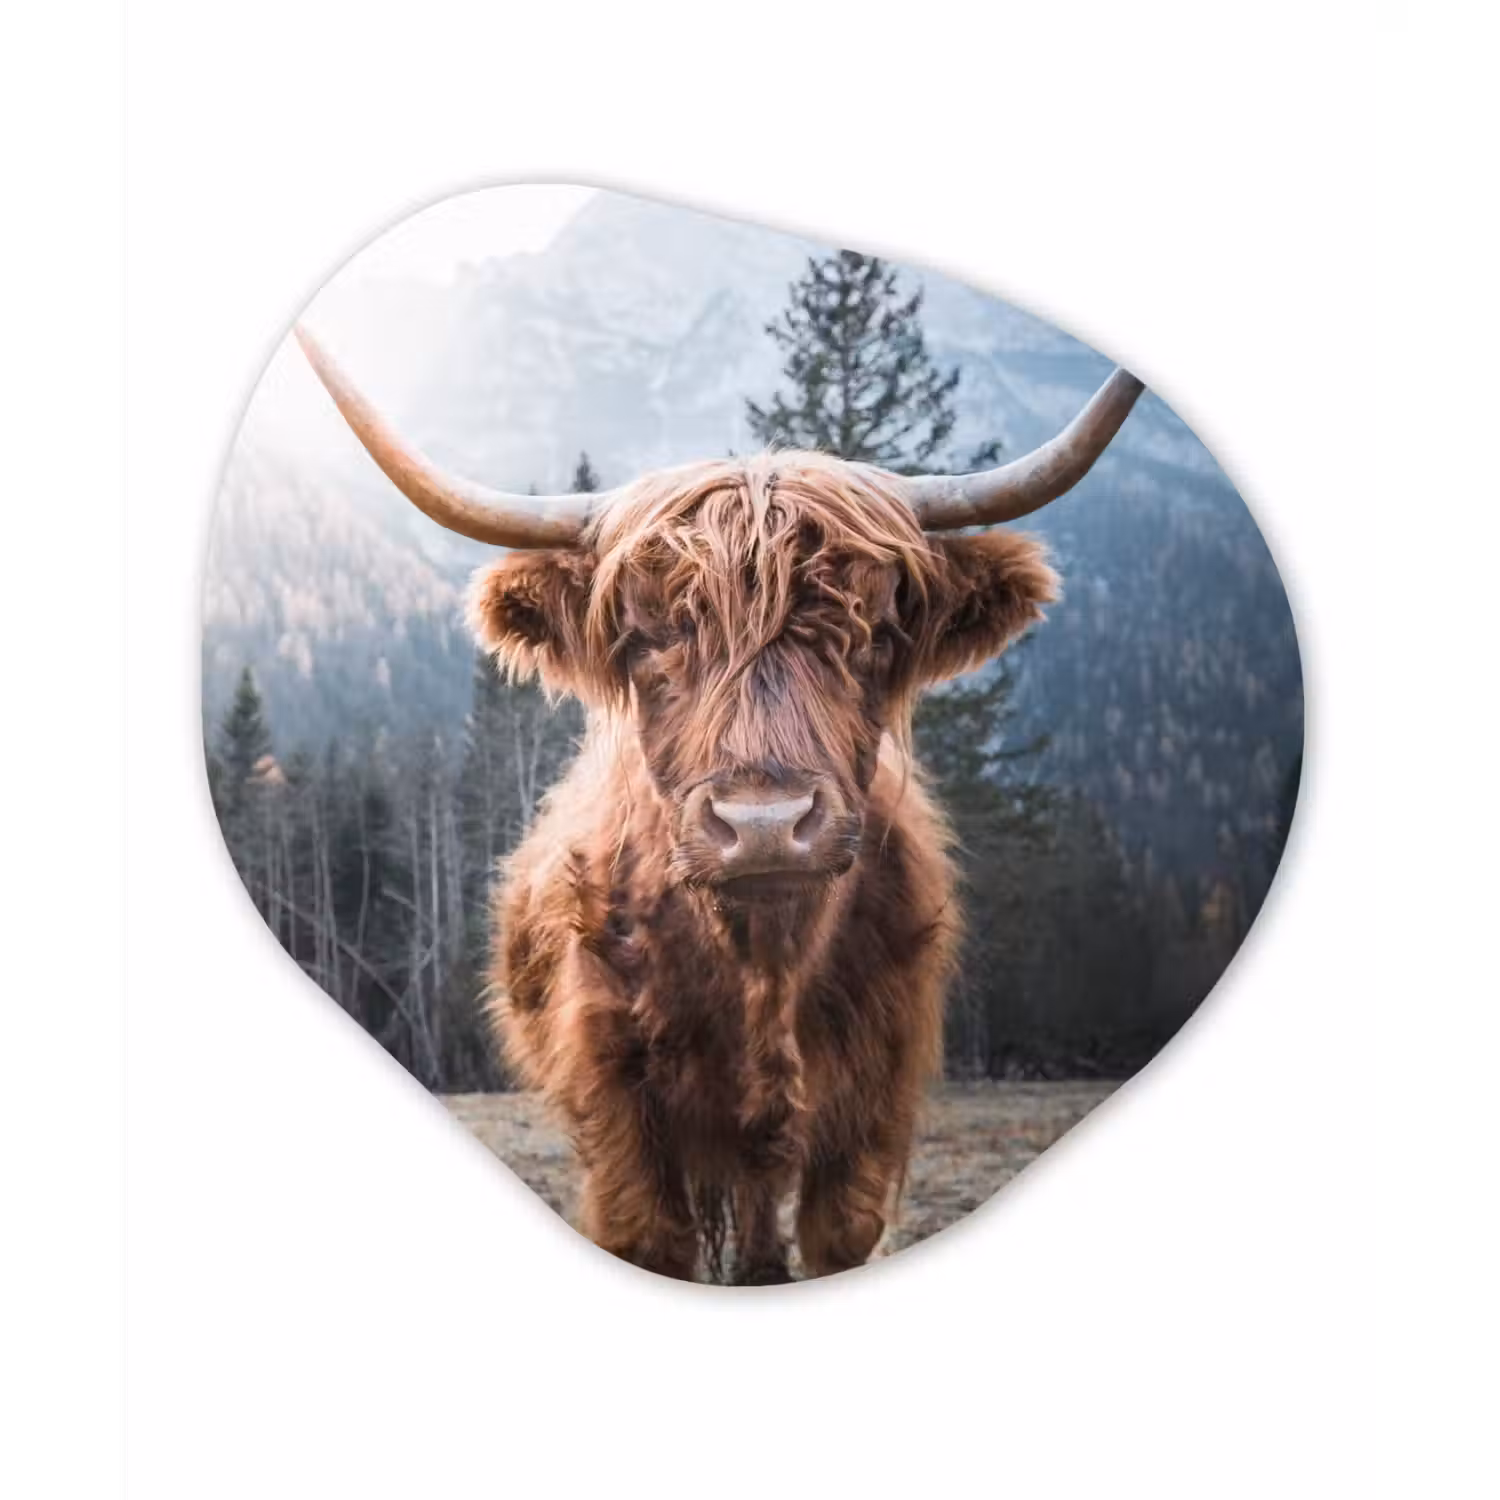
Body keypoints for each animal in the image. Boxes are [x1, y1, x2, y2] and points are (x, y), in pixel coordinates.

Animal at [295, 325, 1144, 1283]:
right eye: (644, 635)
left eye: (876, 631)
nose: (764, 826)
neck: (762, 966)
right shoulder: (621, 1113)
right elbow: (653, 1237)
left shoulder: (872, 1107)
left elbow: (832, 1234)